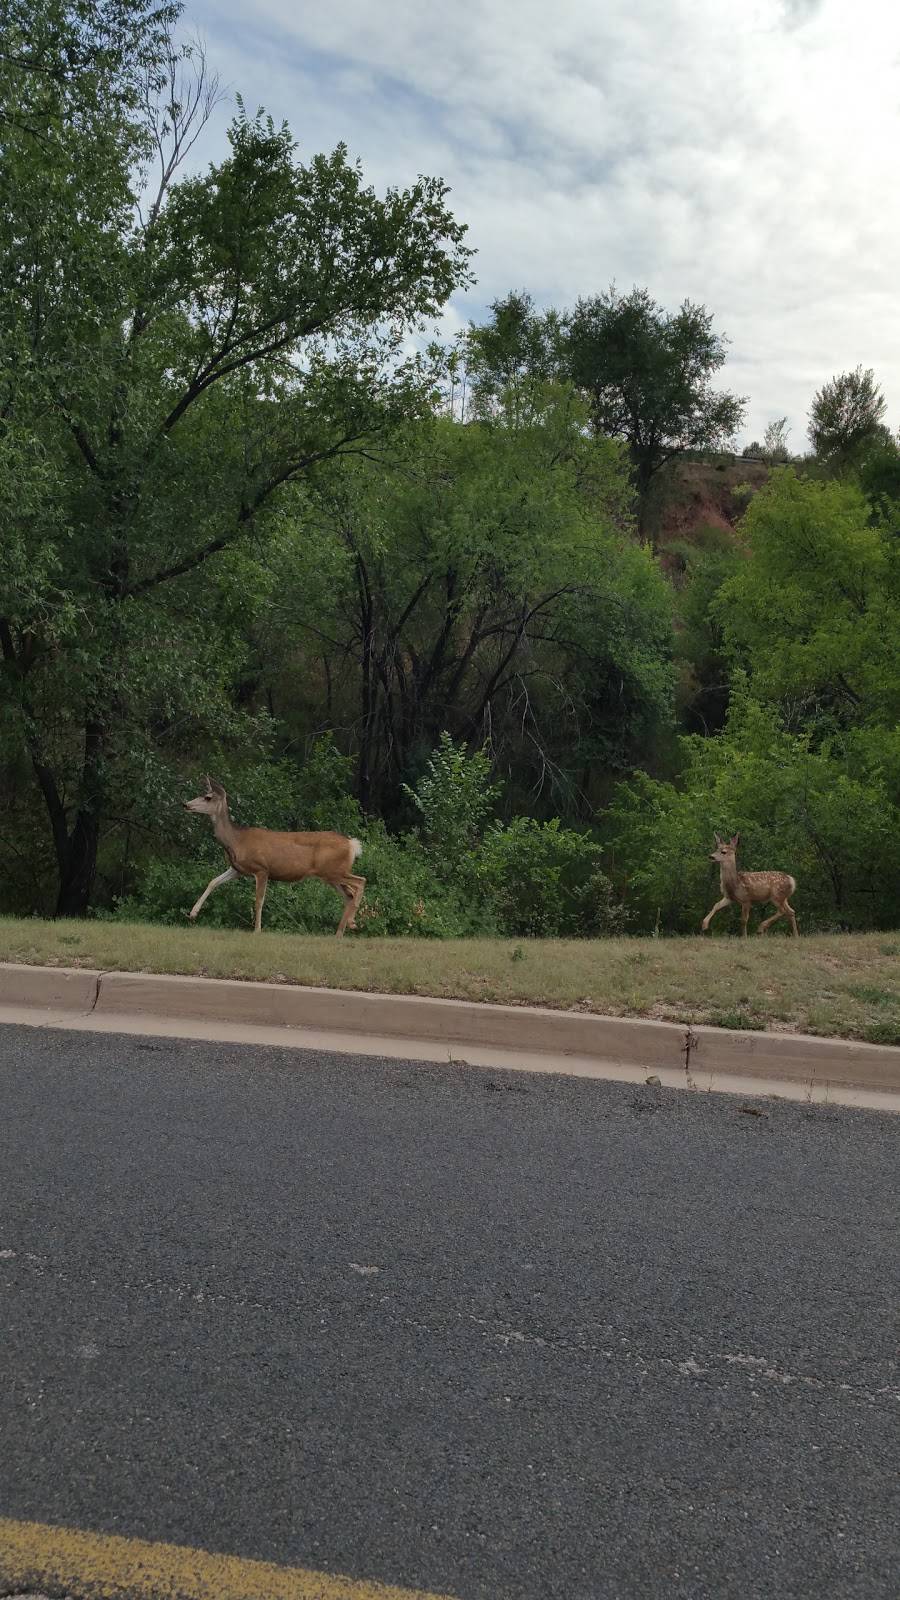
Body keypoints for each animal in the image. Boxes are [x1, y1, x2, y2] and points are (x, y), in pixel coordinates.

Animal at [182, 777, 365, 934]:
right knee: (349, 894)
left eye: (207, 797)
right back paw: (341, 932)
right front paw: (193, 913)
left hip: (334, 871)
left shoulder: (262, 869)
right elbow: (213, 882)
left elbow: (259, 900)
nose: (185, 804)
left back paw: (351, 923)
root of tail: (352, 844)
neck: (236, 841)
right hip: (330, 875)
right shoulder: (238, 869)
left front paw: (257, 930)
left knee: (360, 882)